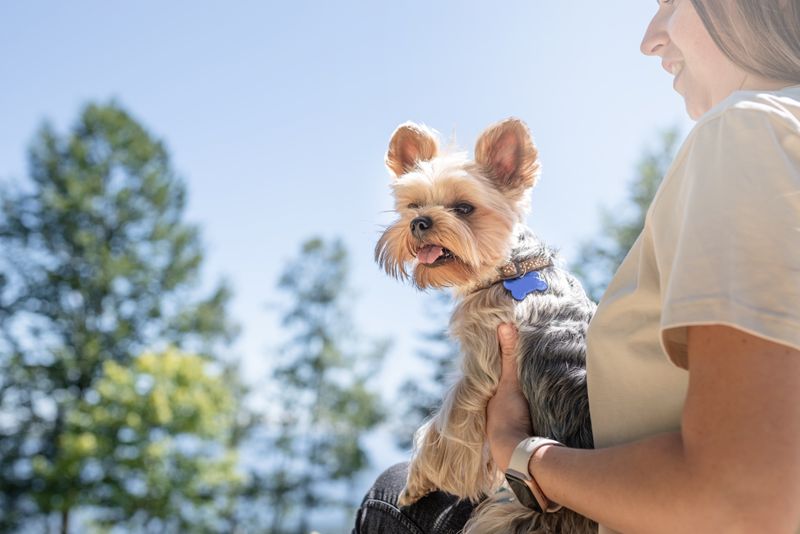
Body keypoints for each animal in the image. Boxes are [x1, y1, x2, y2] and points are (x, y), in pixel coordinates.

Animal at [378, 119, 596, 532]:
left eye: (464, 208)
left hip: (507, 516)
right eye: (413, 205)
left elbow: (445, 426)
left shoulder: (481, 366)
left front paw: (417, 482)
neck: (510, 268)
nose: (419, 222)